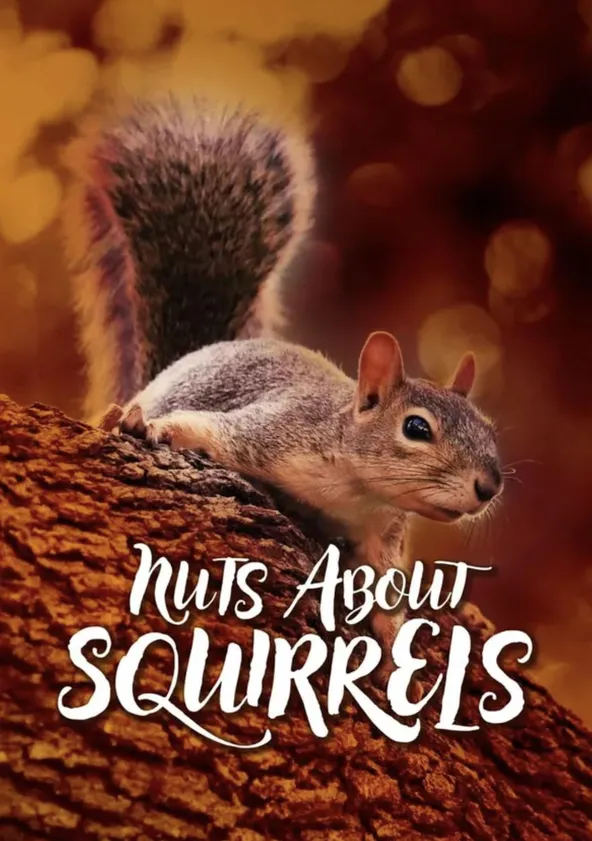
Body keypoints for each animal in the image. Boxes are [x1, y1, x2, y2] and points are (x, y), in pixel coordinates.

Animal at [64, 94, 503, 652]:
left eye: (489, 428)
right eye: (416, 428)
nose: (489, 486)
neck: (355, 488)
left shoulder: (383, 530)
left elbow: (384, 578)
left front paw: (391, 629)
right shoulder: (274, 430)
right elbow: (209, 429)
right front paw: (158, 427)